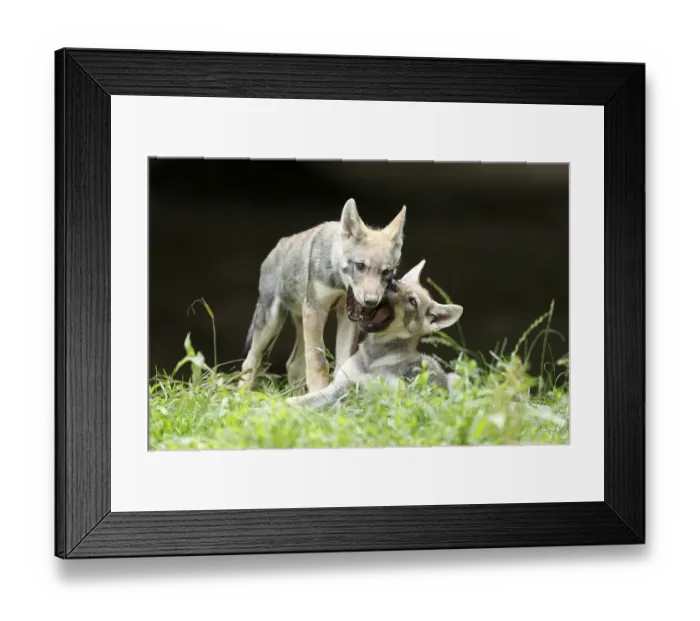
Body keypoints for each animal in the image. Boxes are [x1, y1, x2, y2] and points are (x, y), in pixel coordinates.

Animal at [239, 198, 407, 393]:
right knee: (249, 362)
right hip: (271, 324)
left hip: (300, 325)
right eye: (360, 266)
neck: (338, 282)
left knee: (293, 365)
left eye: (386, 272)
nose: (371, 301)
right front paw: (320, 392)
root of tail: (278, 245)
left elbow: (343, 362)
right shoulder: (316, 311)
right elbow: (318, 363)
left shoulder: (346, 318)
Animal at [285, 259, 463, 408]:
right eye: (400, 282)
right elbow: (296, 401)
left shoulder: (388, 396)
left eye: (413, 302)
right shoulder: (337, 386)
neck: (372, 360)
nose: (392, 283)